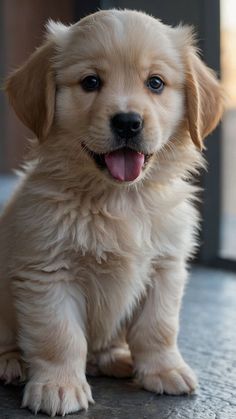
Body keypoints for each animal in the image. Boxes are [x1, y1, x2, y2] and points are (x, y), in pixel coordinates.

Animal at [0, 8, 223, 418]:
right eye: (90, 82)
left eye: (155, 83)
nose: (128, 122)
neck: (121, 201)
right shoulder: (48, 273)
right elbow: (60, 337)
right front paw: (57, 386)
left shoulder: (166, 267)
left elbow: (158, 327)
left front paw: (163, 370)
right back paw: (11, 362)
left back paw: (114, 356)